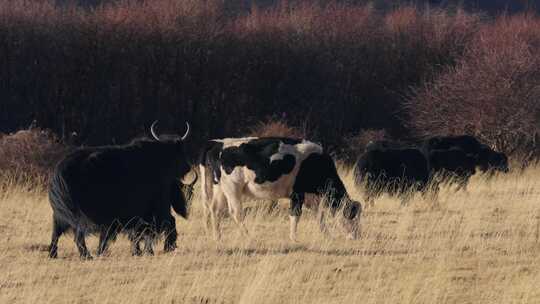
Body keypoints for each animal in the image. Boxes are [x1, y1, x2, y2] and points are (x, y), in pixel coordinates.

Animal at [48, 121, 196, 258]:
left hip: (60, 214)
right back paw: (87, 255)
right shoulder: (153, 209)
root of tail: (59, 171)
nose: (188, 167)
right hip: (79, 216)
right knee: (78, 235)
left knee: (56, 232)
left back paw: (54, 254)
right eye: (180, 150)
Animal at [198, 137, 362, 241]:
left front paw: (327, 235)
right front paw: (294, 238)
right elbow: (295, 215)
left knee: (215, 210)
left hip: (220, 188)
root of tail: (217, 143)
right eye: (352, 216)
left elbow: (319, 215)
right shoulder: (297, 193)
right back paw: (248, 236)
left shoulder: (311, 197)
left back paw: (218, 237)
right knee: (236, 213)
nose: (356, 236)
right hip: (232, 188)